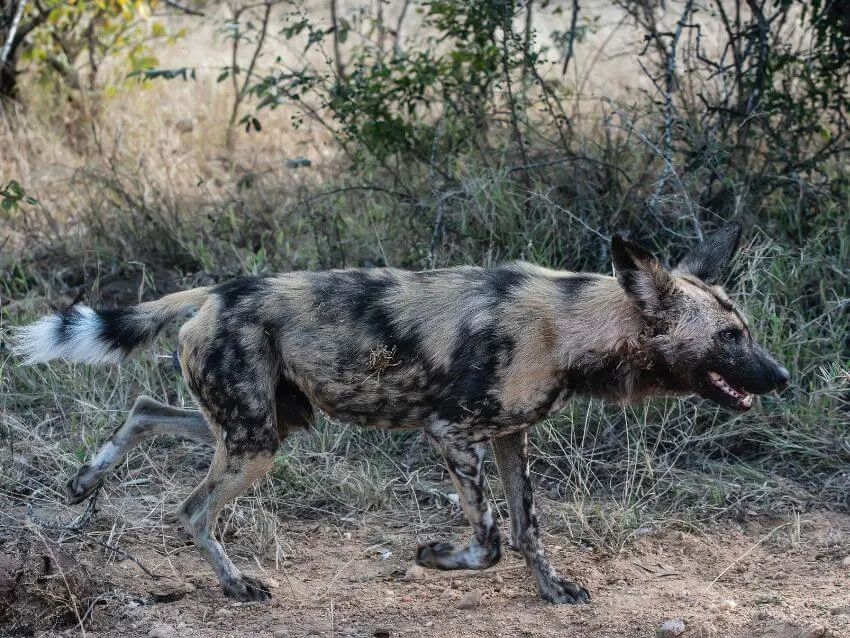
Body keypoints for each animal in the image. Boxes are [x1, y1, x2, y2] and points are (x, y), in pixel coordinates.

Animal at [13, 224, 788, 604]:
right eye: (730, 336)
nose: (781, 377)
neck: (573, 326)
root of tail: (217, 290)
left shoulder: (510, 439)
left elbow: (529, 530)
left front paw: (552, 591)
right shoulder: (452, 434)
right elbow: (489, 538)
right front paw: (436, 557)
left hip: (262, 426)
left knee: (146, 408)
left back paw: (87, 480)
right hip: (256, 441)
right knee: (191, 509)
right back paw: (235, 585)